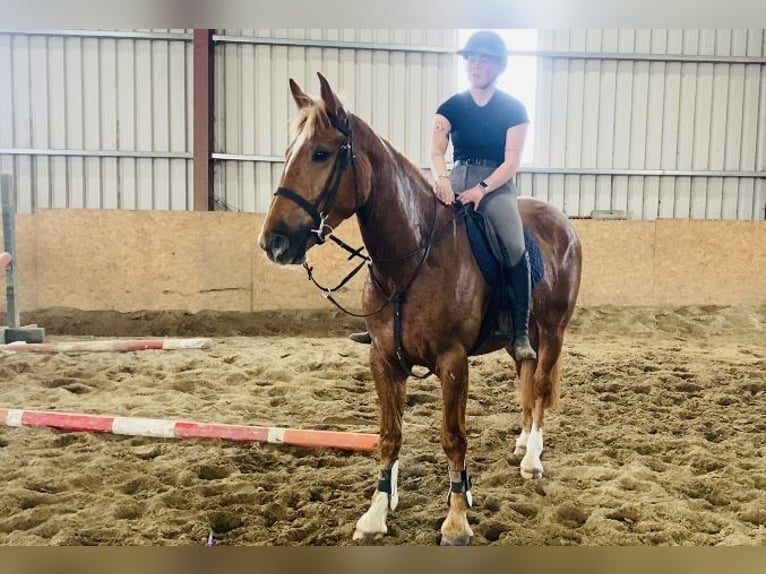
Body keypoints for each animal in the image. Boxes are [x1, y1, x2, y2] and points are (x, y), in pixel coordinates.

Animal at [258, 74, 584, 548]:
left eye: (320, 153)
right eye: (287, 153)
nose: (274, 242)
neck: (412, 258)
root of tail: (562, 224)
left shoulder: (453, 363)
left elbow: (453, 438)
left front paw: (456, 520)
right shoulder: (383, 360)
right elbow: (390, 436)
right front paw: (376, 514)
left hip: (554, 328)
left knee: (539, 385)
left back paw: (532, 460)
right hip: (518, 340)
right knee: (526, 375)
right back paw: (523, 444)